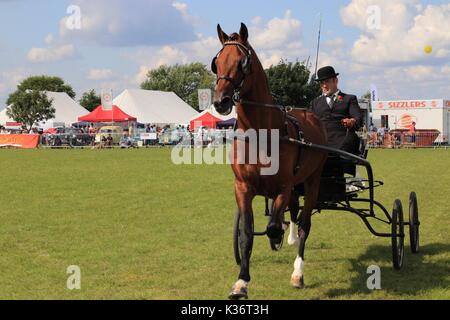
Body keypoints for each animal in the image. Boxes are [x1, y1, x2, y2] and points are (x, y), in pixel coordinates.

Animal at [213, 23, 328, 300]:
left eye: (242, 62)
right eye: (216, 62)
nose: (221, 101)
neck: (260, 133)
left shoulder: (284, 186)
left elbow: (275, 224)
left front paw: (277, 238)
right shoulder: (243, 187)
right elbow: (246, 233)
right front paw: (241, 282)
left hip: (312, 181)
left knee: (305, 223)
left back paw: (297, 271)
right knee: (295, 212)